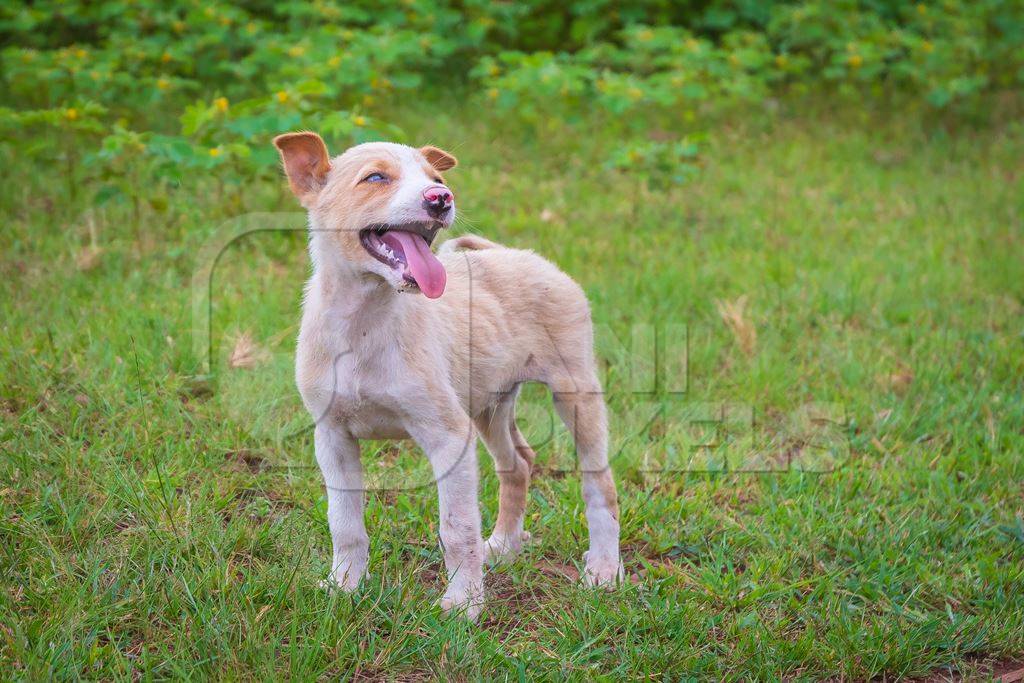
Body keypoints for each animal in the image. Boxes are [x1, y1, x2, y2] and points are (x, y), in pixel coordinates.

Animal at [274, 132, 622, 618]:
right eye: (375, 178)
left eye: (436, 180)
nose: (441, 198)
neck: (365, 322)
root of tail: (517, 255)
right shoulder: (332, 438)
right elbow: (344, 523)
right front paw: (345, 585)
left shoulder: (448, 436)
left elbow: (457, 528)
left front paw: (463, 604)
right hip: (490, 403)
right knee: (518, 464)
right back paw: (504, 546)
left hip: (574, 391)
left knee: (599, 484)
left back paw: (604, 569)